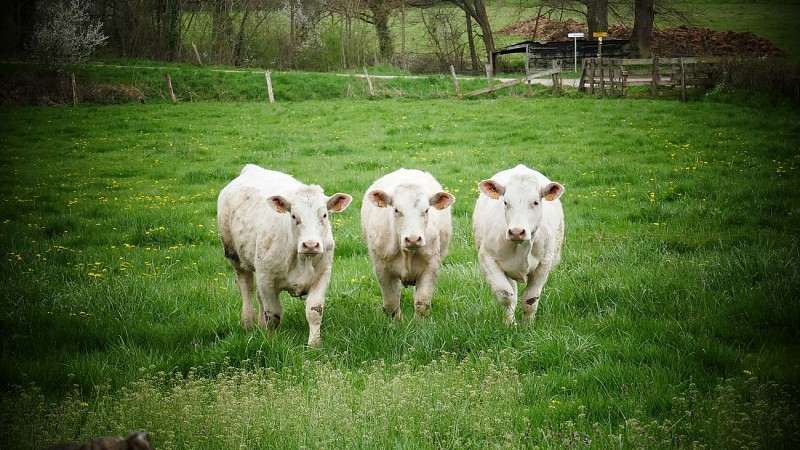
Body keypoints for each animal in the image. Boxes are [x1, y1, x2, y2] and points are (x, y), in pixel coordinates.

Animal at [216, 163, 350, 346]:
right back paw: (248, 322)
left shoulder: (322, 276)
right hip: (234, 256)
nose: (310, 244)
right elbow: (273, 314)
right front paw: (271, 340)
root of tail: (251, 168)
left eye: (324, 215)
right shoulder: (267, 279)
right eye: (293, 216)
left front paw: (314, 344)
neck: (301, 259)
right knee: (246, 287)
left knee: (258, 296)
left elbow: (314, 311)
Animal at [362, 169, 456, 320]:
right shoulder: (381, 268)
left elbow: (422, 303)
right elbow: (391, 303)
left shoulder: (432, 266)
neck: (408, 253)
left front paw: (418, 324)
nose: (413, 239)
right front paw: (397, 323)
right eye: (396, 210)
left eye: (426, 210)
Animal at [472, 163, 564, 326]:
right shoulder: (487, 259)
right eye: (505, 202)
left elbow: (530, 299)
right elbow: (506, 296)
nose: (516, 231)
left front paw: (528, 325)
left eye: (536, 202)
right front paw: (509, 324)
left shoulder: (545, 263)